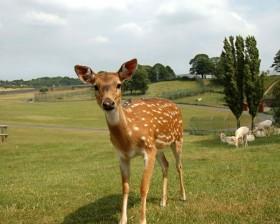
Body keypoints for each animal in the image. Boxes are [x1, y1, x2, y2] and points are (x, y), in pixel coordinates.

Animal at [74, 59, 186, 224]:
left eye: (119, 84)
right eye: (95, 86)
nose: (108, 103)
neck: (128, 139)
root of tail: (177, 106)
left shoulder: (148, 149)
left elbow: (143, 187)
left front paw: (143, 220)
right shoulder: (122, 155)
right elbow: (125, 187)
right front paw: (122, 219)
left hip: (177, 138)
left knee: (179, 165)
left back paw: (183, 196)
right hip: (158, 147)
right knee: (166, 164)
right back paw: (163, 201)